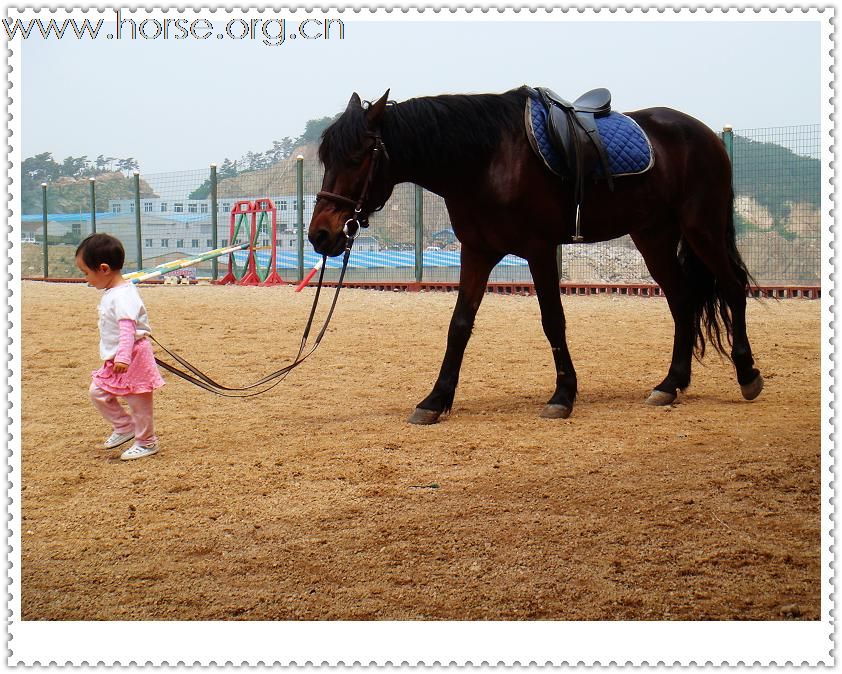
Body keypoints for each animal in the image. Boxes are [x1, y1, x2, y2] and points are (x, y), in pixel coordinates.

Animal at [306, 88, 760, 426]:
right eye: (326, 158)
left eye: (357, 157)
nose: (321, 234)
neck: (486, 160)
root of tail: (706, 135)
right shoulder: (477, 252)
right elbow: (460, 325)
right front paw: (435, 400)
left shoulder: (539, 250)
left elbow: (552, 321)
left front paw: (563, 395)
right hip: (653, 236)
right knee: (682, 300)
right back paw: (670, 384)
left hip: (701, 229)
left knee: (732, 289)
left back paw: (747, 374)